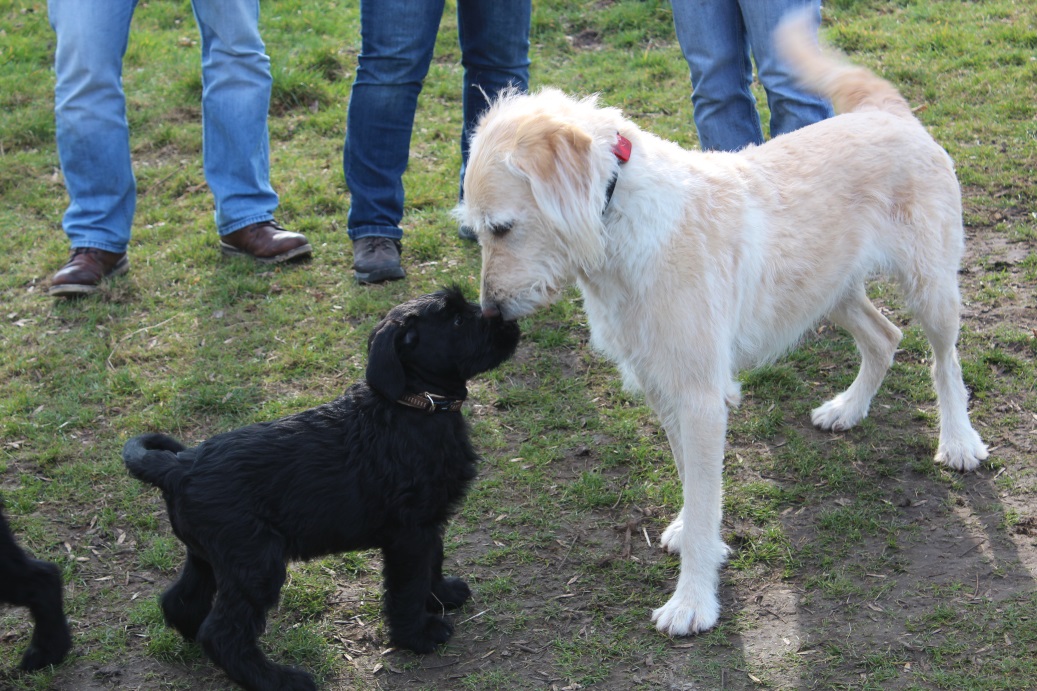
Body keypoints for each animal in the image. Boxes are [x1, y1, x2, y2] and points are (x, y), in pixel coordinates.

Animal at [123, 286, 518, 688]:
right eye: (457, 320)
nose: (510, 319)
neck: (415, 404)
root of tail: (178, 467)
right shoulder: (409, 533)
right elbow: (408, 585)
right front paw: (418, 635)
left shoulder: (429, 523)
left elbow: (433, 562)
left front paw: (442, 594)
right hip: (256, 564)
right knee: (222, 633)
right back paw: (280, 680)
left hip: (208, 557)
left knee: (180, 602)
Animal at [456, 10, 987, 634]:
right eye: (475, 229)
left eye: (503, 228)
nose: (491, 312)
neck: (621, 223)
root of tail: (888, 112)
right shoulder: (663, 386)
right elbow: (690, 479)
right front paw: (692, 533)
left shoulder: (700, 397)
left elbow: (705, 491)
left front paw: (691, 600)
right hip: (828, 290)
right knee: (885, 336)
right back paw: (847, 409)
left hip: (931, 287)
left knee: (945, 362)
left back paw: (958, 441)